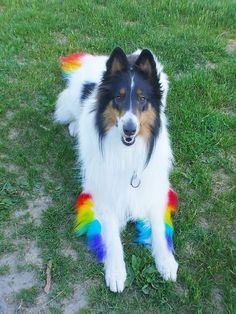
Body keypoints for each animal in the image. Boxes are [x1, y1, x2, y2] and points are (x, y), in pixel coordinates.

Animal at [54, 47, 178, 294]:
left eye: (142, 98)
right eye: (118, 97)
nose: (129, 129)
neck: (127, 152)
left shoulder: (153, 191)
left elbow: (160, 230)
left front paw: (166, 262)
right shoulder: (104, 197)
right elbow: (112, 237)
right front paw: (116, 271)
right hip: (70, 102)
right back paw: (74, 127)